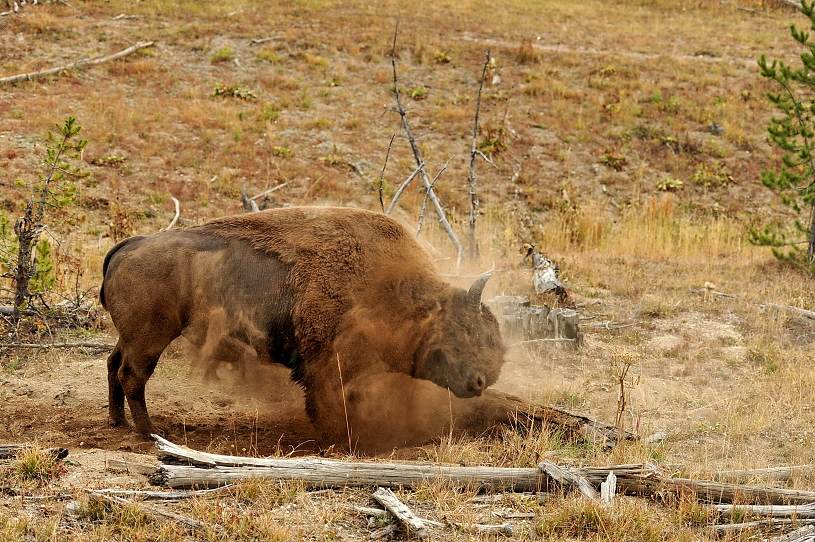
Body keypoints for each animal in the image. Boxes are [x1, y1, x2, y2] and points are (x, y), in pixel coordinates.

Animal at [100, 206, 509, 451]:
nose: (481, 380)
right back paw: (148, 432)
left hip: (132, 338)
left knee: (113, 364)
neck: (396, 291)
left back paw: (118, 421)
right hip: (149, 338)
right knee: (132, 375)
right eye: (464, 330)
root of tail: (132, 245)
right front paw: (340, 439)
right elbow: (325, 401)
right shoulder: (325, 364)